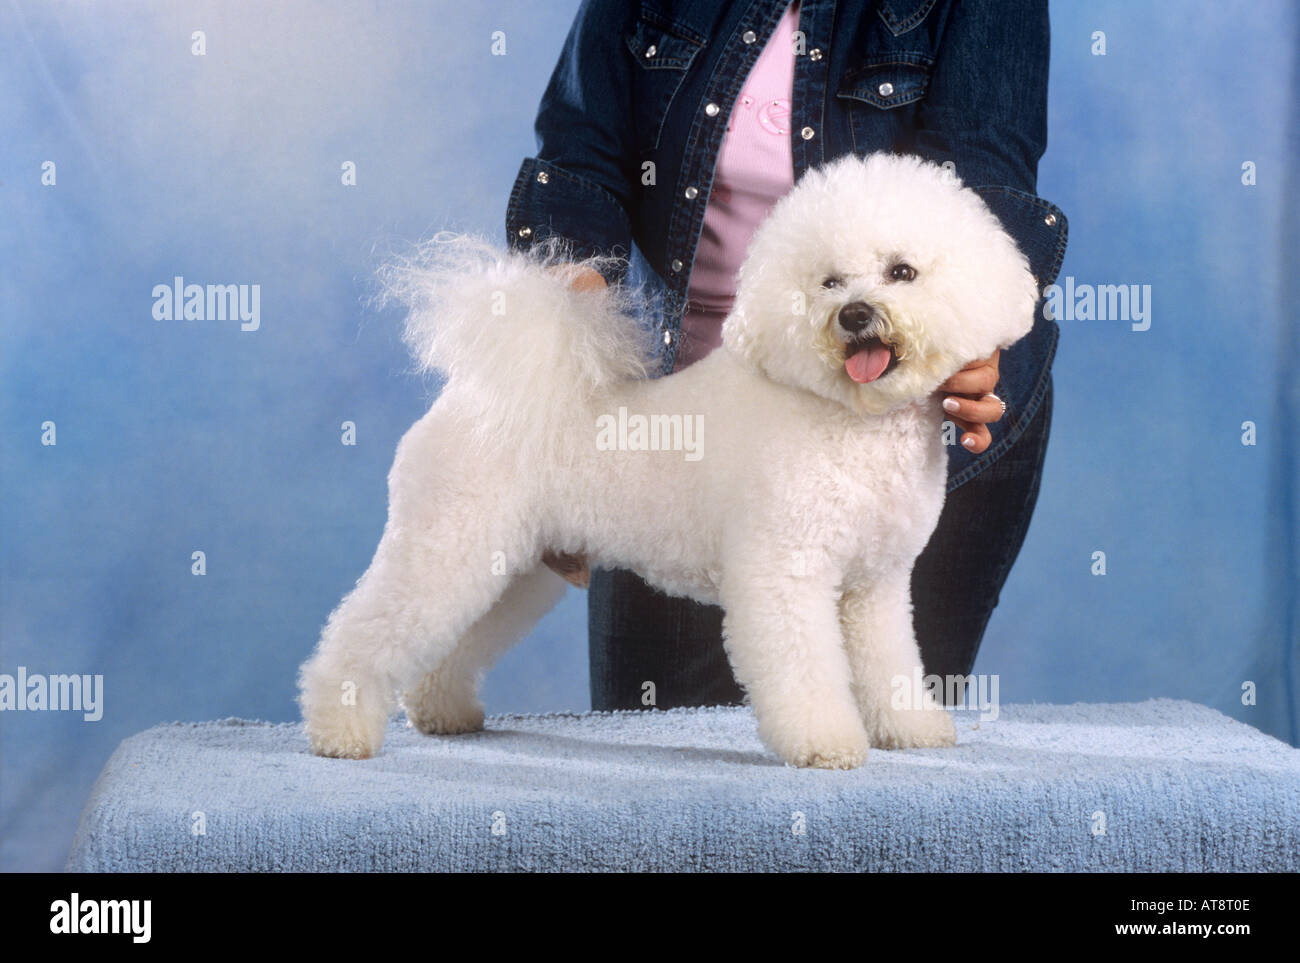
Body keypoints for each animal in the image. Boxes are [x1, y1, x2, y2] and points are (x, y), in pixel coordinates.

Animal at [297, 152, 1034, 764]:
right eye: (827, 282)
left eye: (902, 271)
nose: (853, 315)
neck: (846, 418)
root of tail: (478, 393)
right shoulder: (784, 574)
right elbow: (804, 671)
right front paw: (825, 743)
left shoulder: (874, 587)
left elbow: (890, 664)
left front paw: (911, 729)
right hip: (447, 542)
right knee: (366, 632)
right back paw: (340, 730)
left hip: (513, 565)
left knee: (450, 644)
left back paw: (443, 712)